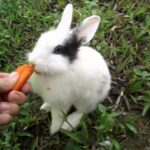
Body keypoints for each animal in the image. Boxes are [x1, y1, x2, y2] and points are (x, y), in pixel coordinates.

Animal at [27, 3, 110, 135]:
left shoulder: (62, 101)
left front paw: (53, 131)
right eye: (41, 39)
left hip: (86, 100)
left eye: (58, 50)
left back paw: (68, 126)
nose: (32, 63)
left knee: (83, 111)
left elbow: (57, 117)